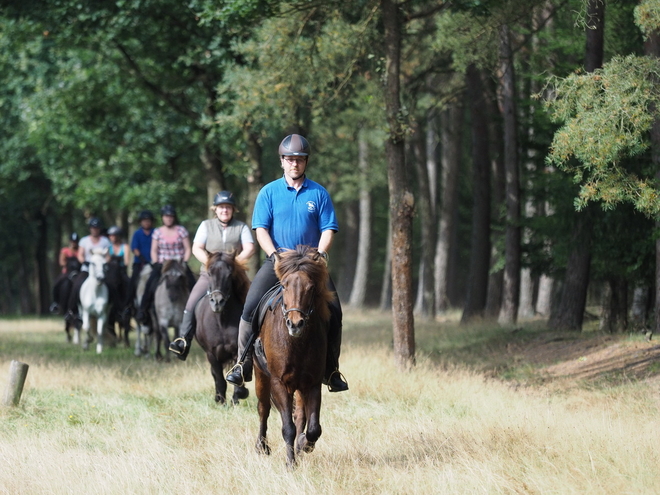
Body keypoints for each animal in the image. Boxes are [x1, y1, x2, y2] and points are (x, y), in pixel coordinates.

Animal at [195, 254, 251, 404]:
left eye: (229, 274)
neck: (222, 322)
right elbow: (219, 380)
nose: (217, 302)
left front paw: (238, 396)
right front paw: (221, 401)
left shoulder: (237, 351)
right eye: (209, 273)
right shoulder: (211, 354)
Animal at [254, 248, 336, 468]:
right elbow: (287, 427)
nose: (295, 324)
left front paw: (304, 445)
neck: (296, 344)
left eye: (311, 287)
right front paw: (291, 463)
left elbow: (314, 427)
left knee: (300, 415)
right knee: (263, 409)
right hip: (260, 375)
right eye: (284, 285)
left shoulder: (313, 383)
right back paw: (262, 446)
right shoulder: (279, 383)